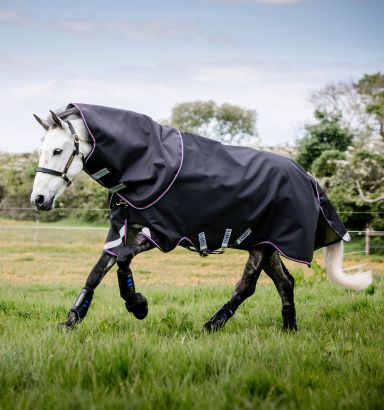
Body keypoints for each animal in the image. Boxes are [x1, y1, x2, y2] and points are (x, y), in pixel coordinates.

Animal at [30, 109, 372, 334]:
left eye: (58, 150)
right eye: (42, 150)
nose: (39, 200)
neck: (147, 165)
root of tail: (308, 177)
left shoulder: (161, 232)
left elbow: (124, 261)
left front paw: (137, 305)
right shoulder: (122, 229)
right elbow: (97, 272)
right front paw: (71, 320)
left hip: (262, 245)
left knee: (247, 285)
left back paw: (213, 324)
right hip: (265, 242)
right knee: (285, 282)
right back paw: (289, 329)